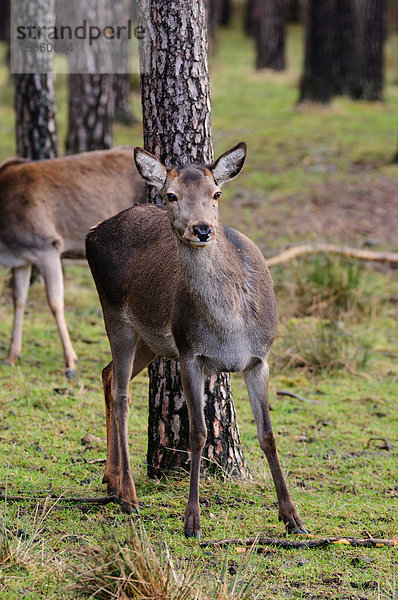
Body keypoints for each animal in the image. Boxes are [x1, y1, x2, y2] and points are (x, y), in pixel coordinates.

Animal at [0, 147, 145, 378]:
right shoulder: (22, 259)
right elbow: (19, 299)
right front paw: (11, 356)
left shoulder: (47, 246)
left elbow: (55, 302)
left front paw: (70, 362)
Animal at [85, 144, 306, 540]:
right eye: (171, 195)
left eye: (215, 194)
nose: (202, 229)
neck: (230, 326)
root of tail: (92, 232)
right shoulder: (190, 353)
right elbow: (198, 434)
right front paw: (192, 521)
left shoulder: (260, 358)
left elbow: (268, 434)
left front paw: (292, 518)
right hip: (116, 317)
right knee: (122, 393)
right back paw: (129, 496)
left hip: (152, 339)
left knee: (107, 374)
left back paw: (111, 480)